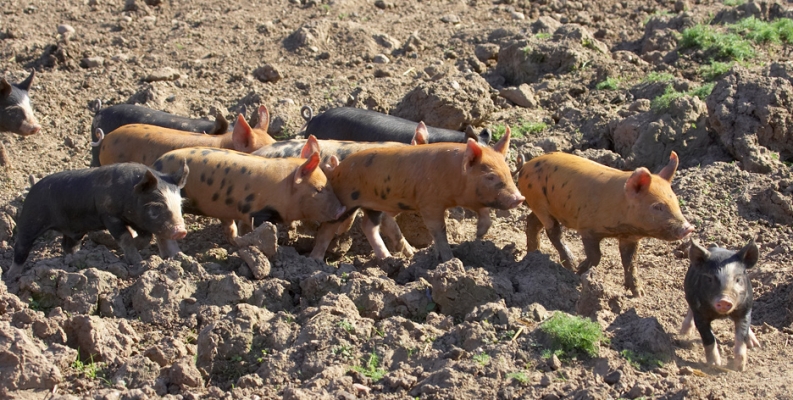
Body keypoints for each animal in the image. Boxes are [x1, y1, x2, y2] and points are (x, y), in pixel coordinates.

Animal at [5, 162, 189, 280]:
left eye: (180, 204)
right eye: (156, 206)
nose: (181, 231)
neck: (128, 192)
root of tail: (33, 185)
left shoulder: (138, 221)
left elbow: (145, 238)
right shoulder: (108, 215)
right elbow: (125, 237)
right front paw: (136, 261)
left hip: (73, 230)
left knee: (68, 245)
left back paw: (71, 261)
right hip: (31, 218)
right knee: (21, 246)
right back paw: (11, 277)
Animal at [151, 145, 346, 250]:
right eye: (318, 189)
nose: (342, 209)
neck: (283, 188)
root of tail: (155, 164)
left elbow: (243, 230)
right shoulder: (258, 212)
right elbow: (263, 230)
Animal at [310, 128, 523, 261]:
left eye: (507, 172)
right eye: (490, 176)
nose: (519, 198)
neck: (455, 174)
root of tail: (335, 171)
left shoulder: (471, 199)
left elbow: (484, 212)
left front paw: (479, 234)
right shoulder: (429, 203)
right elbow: (438, 230)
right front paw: (450, 260)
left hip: (373, 205)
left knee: (368, 226)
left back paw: (388, 259)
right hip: (346, 201)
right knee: (327, 229)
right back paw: (316, 261)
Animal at [516, 151, 695, 297]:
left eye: (676, 202)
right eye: (657, 206)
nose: (688, 228)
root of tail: (525, 166)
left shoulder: (630, 238)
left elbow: (630, 262)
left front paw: (639, 294)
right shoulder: (587, 228)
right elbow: (596, 255)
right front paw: (580, 271)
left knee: (532, 223)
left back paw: (534, 254)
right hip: (539, 201)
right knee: (553, 231)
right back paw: (569, 265)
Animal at [680, 239, 761, 371]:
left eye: (738, 279)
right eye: (709, 279)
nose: (724, 300)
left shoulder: (745, 310)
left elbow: (741, 336)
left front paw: (739, 367)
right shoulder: (700, 314)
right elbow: (708, 337)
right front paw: (715, 365)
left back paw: (755, 344)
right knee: (690, 310)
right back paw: (684, 333)